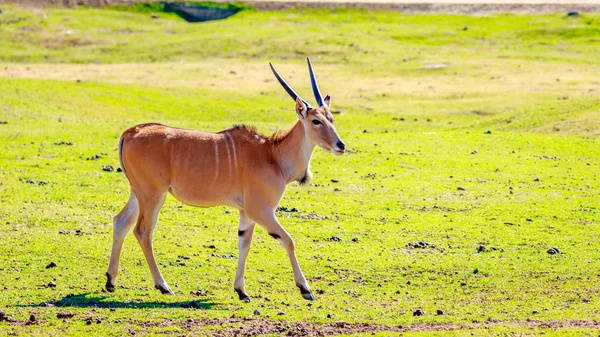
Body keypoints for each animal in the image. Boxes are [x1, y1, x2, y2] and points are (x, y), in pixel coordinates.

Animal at [105, 57, 344, 300]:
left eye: (331, 118)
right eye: (316, 121)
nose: (340, 145)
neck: (272, 154)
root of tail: (129, 133)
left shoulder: (246, 213)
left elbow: (244, 244)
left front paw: (241, 291)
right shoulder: (261, 210)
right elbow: (288, 240)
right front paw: (305, 288)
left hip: (138, 193)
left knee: (121, 222)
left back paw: (111, 281)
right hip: (153, 194)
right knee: (143, 231)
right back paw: (163, 285)